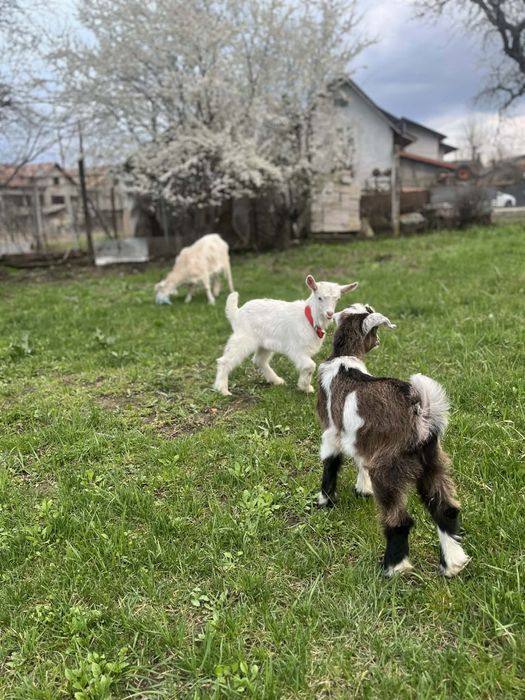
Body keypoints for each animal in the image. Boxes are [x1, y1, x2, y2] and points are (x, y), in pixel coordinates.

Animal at [213, 275, 358, 396]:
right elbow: (310, 365)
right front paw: (305, 387)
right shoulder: (296, 349)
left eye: (337, 299)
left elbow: (307, 366)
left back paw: (277, 380)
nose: (329, 313)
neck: (310, 317)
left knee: (259, 360)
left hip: (264, 344)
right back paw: (223, 390)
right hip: (243, 338)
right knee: (224, 360)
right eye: (320, 298)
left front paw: (304, 386)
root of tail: (236, 313)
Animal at [316, 303, 470, 578]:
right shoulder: (360, 438)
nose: (377, 342)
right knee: (446, 508)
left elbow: (330, 462)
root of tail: (420, 415)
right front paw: (362, 489)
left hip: (388, 471)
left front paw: (325, 500)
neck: (344, 360)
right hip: (433, 462)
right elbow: (359, 460)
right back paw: (452, 564)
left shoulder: (331, 429)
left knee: (400, 521)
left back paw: (392, 568)